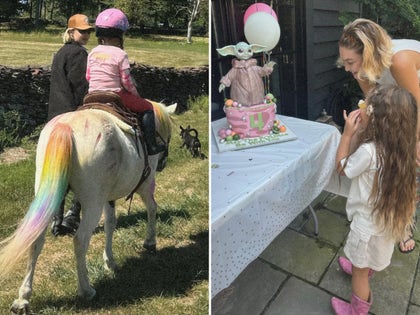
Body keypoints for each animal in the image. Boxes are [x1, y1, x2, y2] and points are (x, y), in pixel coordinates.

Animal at [0, 100, 176, 314]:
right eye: (169, 135)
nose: (163, 163)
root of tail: (66, 127)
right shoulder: (145, 184)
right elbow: (152, 208)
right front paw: (150, 242)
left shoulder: (107, 198)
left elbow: (110, 224)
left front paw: (110, 261)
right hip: (92, 203)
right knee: (80, 240)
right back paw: (86, 290)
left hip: (48, 196)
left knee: (35, 240)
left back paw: (23, 299)